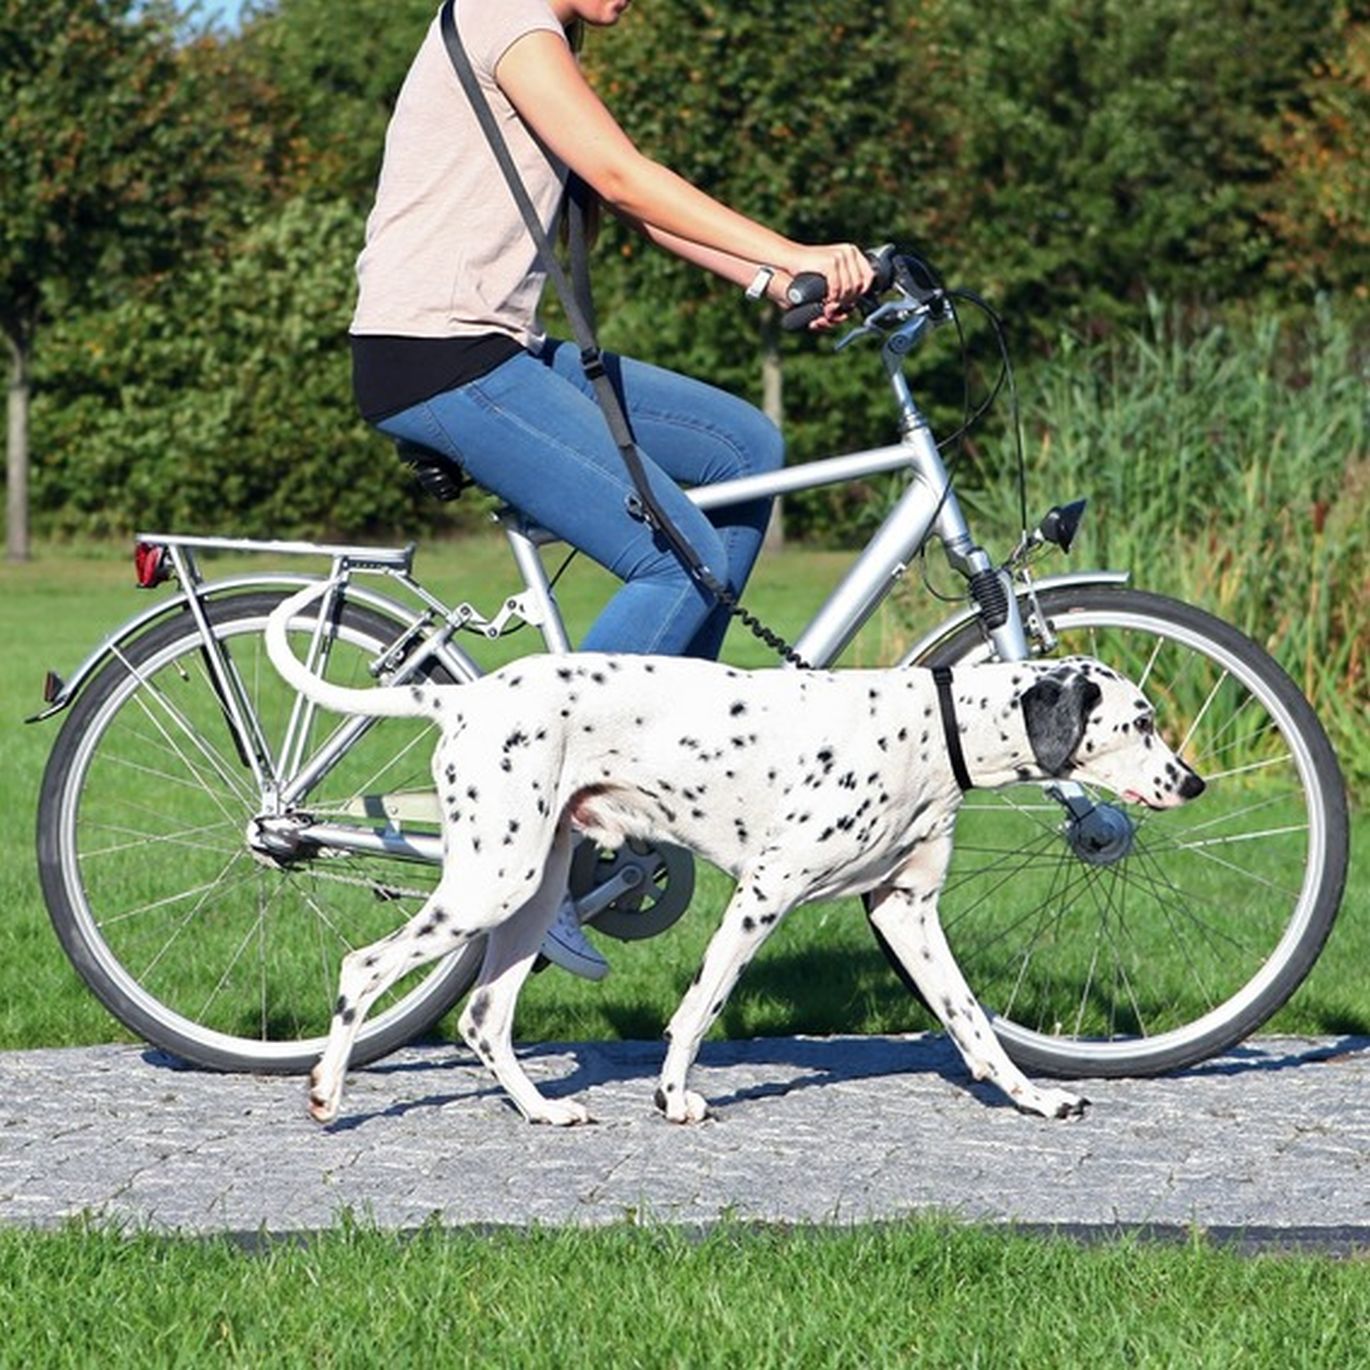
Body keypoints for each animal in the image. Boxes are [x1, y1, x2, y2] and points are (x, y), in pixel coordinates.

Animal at [264, 578, 1200, 1123]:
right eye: (1142, 721)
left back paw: (543, 1112)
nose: (1192, 783)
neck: (931, 729)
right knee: (364, 969)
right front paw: (673, 1096)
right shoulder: (763, 896)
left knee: (483, 1018)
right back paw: (327, 1092)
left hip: (527, 894)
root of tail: (461, 699)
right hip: (493, 883)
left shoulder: (906, 912)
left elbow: (974, 1025)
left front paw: (1035, 1097)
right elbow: (701, 1006)